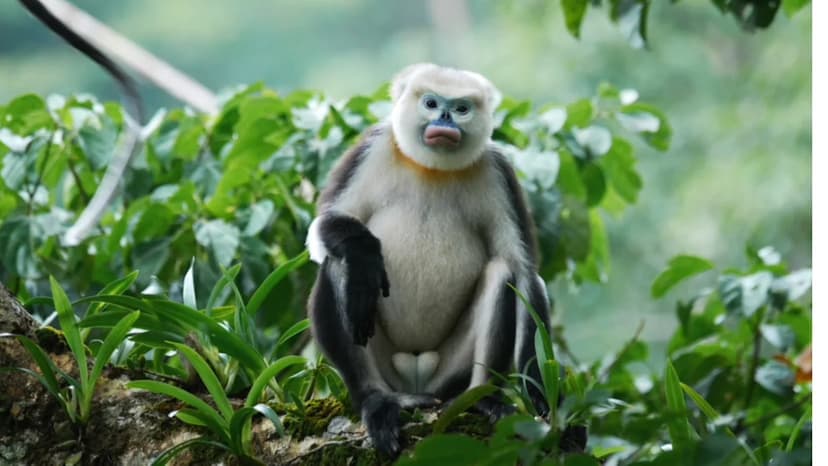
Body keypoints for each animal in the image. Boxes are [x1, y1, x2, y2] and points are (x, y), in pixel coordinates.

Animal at [306, 63, 584, 456]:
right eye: (431, 103)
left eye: (461, 108)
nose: (445, 119)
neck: (431, 168)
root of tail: (416, 380)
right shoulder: (372, 147)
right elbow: (321, 229)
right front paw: (363, 253)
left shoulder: (496, 169)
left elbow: (525, 273)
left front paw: (545, 401)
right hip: (386, 367)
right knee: (337, 263)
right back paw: (378, 402)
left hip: (448, 374)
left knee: (503, 272)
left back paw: (482, 399)